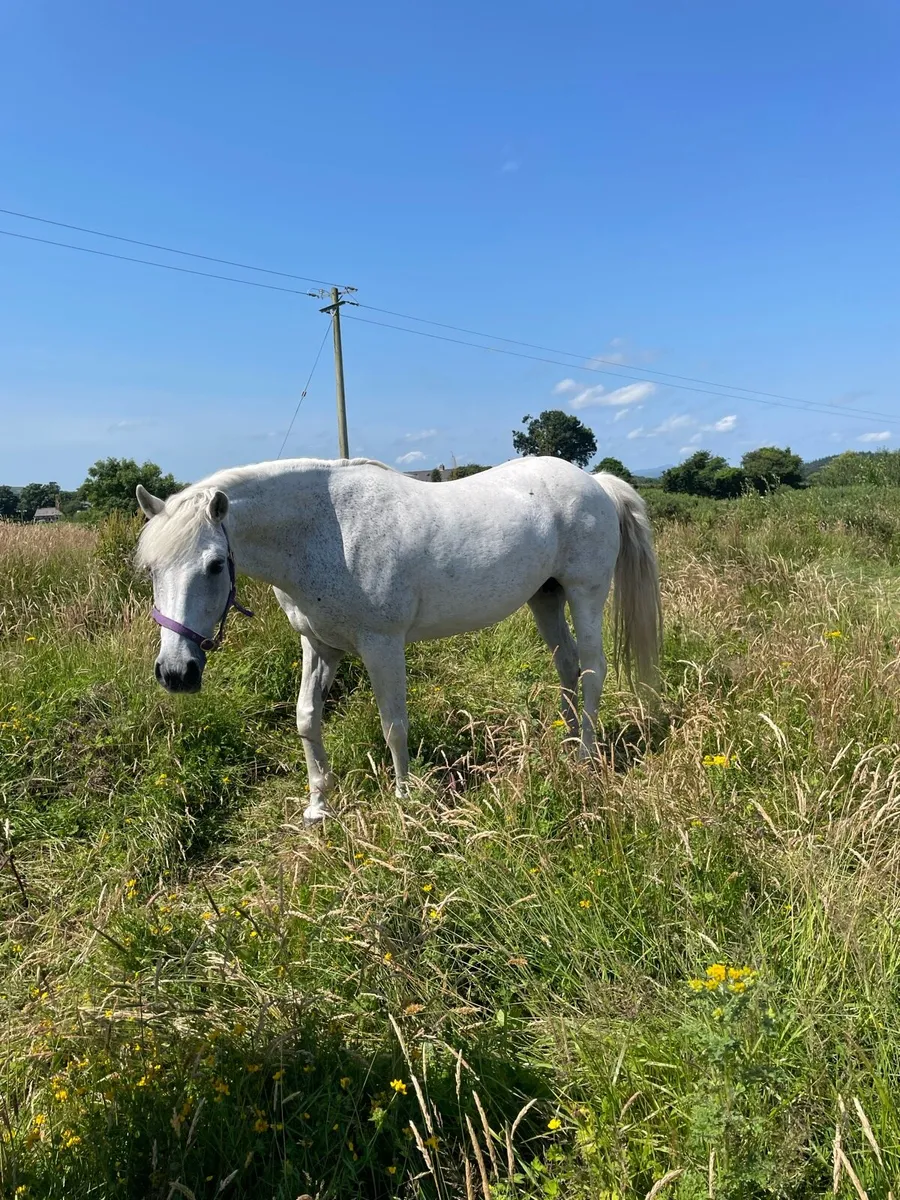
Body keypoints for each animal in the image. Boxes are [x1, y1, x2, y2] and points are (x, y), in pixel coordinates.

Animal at [135, 455, 662, 824]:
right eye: (151, 568)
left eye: (214, 565)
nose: (176, 672)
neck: (325, 533)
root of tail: (595, 482)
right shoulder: (318, 646)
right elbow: (307, 719)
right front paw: (318, 805)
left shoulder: (381, 645)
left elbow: (393, 725)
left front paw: (405, 801)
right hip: (545, 598)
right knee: (568, 665)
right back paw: (568, 742)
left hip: (584, 593)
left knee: (592, 668)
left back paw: (584, 758)